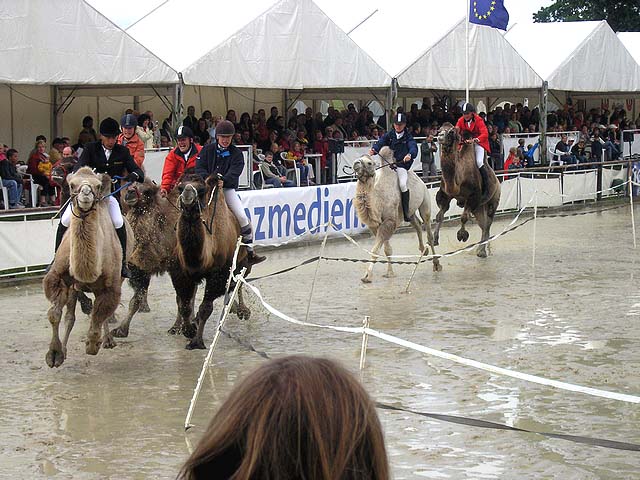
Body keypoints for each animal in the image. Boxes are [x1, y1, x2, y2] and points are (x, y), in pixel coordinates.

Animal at [42, 167, 132, 366]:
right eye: (71, 184)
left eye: (97, 186)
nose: (85, 194)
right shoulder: (59, 279)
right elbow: (54, 314)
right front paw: (54, 354)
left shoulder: (111, 286)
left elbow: (99, 315)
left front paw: (93, 343)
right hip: (74, 287)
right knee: (70, 316)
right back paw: (64, 351)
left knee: (102, 313)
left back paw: (107, 340)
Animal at [111, 179, 191, 338]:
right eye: (130, 185)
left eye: (147, 191)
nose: (130, 193)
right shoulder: (139, 269)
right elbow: (135, 299)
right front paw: (120, 329)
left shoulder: (166, 267)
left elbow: (136, 301)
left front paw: (121, 329)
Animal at [176, 172, 254, 348]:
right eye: (180, 187)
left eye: (201, 190)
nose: (187, 194)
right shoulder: (183, 272)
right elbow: (185, 305)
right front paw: (188, 330)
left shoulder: (218, 273)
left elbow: (206, 308)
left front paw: (196, 342)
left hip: (242, 261)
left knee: (239, 282)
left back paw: (242, 310)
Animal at [352, 144, 442, 284]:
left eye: (369, 163)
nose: (356, 163)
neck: (379, 198)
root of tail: (421, 180)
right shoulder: (376, 225)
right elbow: (386, 249)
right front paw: (389, 273)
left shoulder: (390, 221)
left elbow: (376, 249)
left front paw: (367, 276)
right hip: (409, 213)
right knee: (417, 225)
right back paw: (423, 250)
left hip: (425, 203)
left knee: (428, 231)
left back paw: (436, 263)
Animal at [436, 124, 500, 258]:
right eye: (439, 129)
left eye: (451, 131)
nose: (440, 136)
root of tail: (497, 182)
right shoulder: (446, 195)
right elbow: (439, 215)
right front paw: (434, 239)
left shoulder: (473, 196)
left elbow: (464, 217)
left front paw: (462, 235)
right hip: (478, 208)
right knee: (484, 225)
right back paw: (481, 250)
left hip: (493, 201)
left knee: (487, 224)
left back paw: (482, 251)